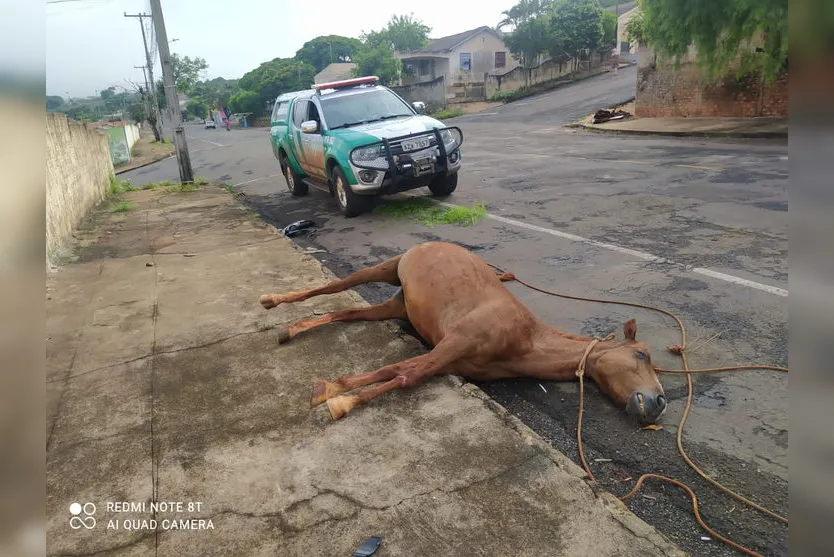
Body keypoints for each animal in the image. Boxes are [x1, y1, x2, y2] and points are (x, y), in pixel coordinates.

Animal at [260, 242, 664, 422]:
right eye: (641, 353)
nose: (658, 403)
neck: (524, 339)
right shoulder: (455, 342)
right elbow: (403, 374)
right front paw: (334, 397)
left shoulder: (451, 359)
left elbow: (404, 372)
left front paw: (333, 392)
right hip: (387, 267)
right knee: (334, 287)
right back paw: (271, 300)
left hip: (396, 305)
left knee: (345, 312)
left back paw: (290, 329)